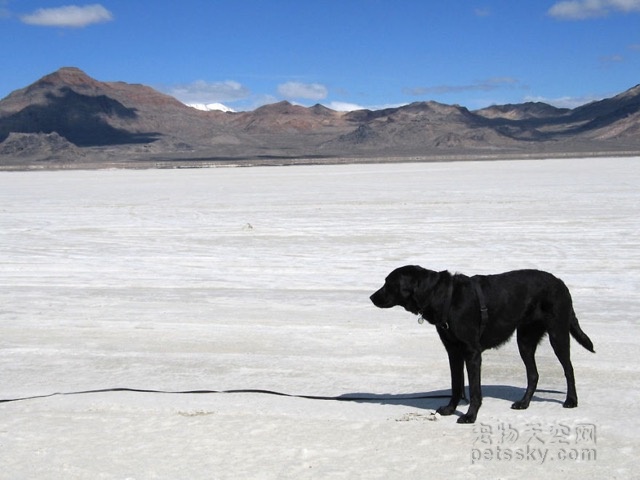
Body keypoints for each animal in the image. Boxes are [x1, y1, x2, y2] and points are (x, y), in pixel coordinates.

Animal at [370, 266, 596, 424]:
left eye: (388, 283)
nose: (371, 297)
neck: (442, 296)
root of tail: (560, 282)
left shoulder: (472, 353)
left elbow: (475, 390)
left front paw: (470, 416)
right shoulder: (453, 352)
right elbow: (456, 385)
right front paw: (450, 410)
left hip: (558, 334)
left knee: (568, 369)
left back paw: (571, 400)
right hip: (524, 339)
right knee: (533, 374)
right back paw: (524, 403)